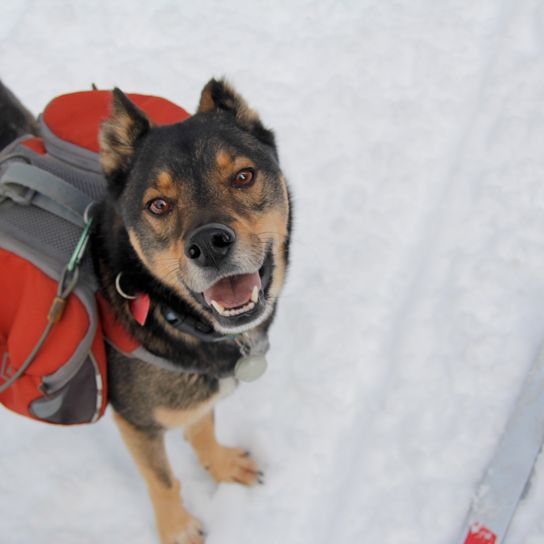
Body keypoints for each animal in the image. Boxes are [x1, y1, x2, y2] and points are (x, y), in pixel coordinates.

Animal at [1, 77, 294, 544]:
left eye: (244, 176)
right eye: (158, 205)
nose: (209, 244)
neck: (171, 313)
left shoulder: (198, 392)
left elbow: (203, 428)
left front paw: (221, 466)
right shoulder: (137, 421)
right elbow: (162, 479)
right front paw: (177, 529)